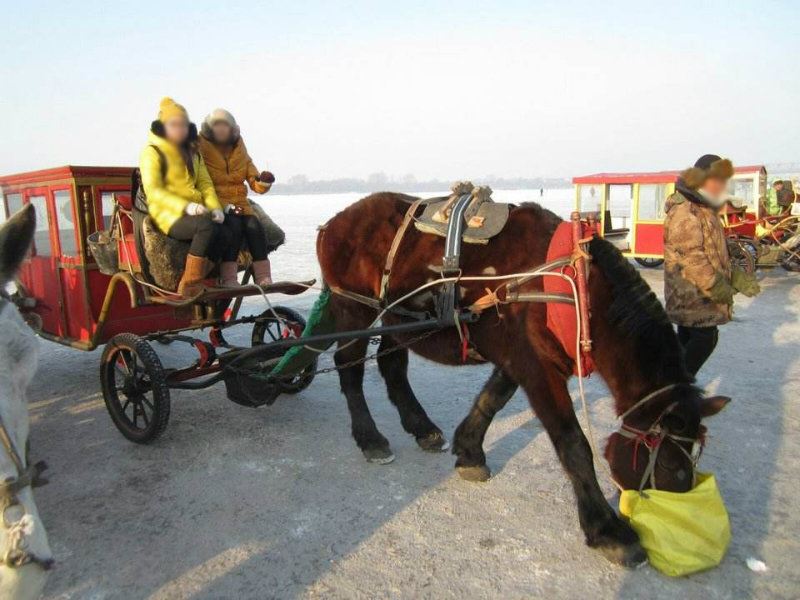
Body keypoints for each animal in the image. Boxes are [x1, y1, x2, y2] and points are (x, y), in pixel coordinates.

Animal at [316, 195, 728, 564]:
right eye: (670, 464)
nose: (678, 503)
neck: (576, 288)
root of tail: (334, 223)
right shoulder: (538, 369)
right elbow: (573, 444)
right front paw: (606, 528)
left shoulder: (520, 359)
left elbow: (493, 398)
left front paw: (468, 449)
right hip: (355, 310)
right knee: (349, 368)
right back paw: (370, 437)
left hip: (396, 319)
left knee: (392, 366)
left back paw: (421, 427)